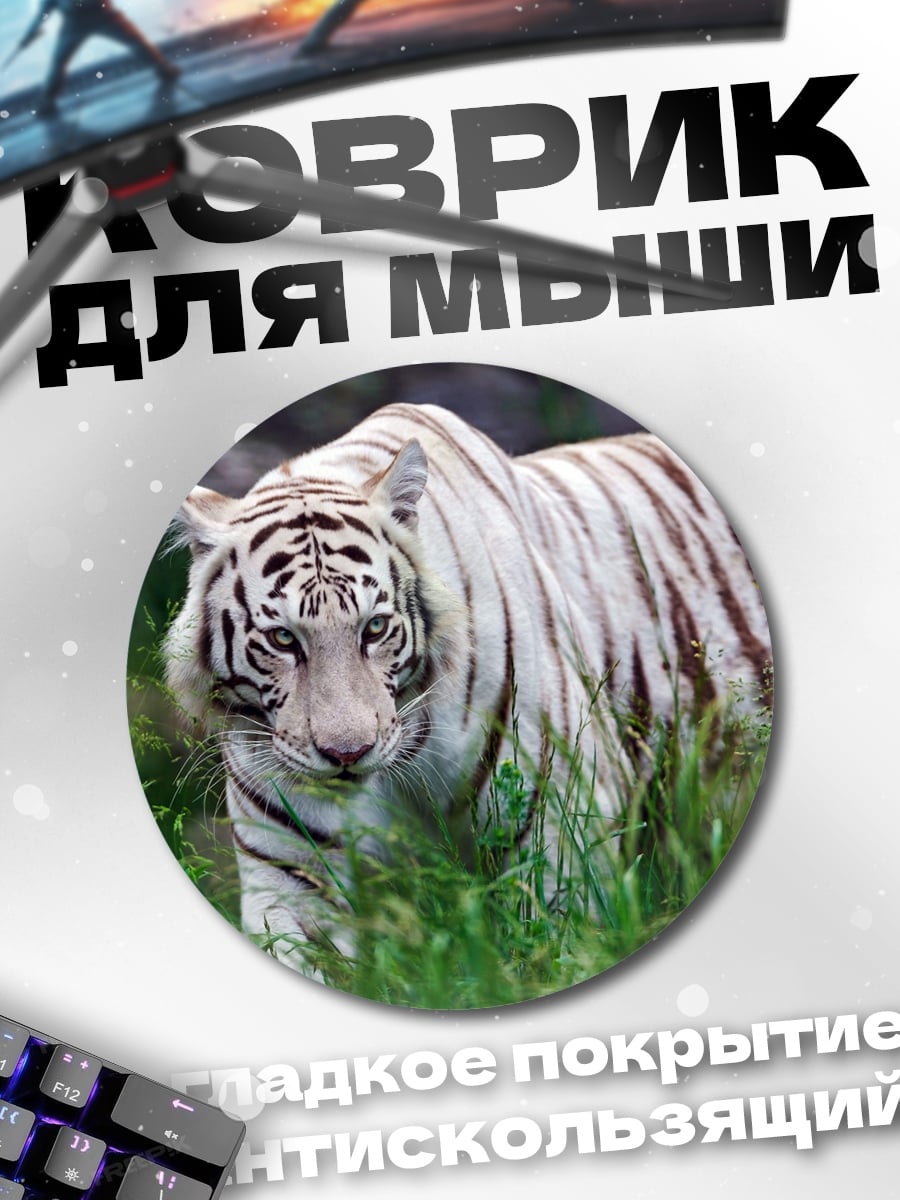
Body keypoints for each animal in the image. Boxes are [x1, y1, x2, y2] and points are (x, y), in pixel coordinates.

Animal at [165, 401, 772, 970]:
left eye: (375, 628)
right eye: (284, 638)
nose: (348, 754)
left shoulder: (559, 827)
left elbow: (552, 949)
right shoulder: (291, 874)